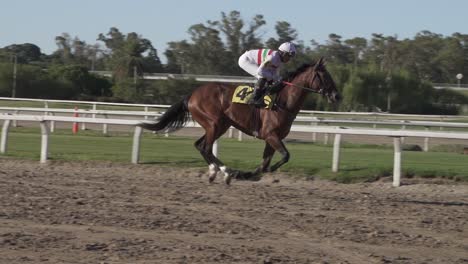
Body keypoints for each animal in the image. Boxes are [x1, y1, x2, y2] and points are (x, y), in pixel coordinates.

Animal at [139, 57, 340, 186]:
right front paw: (245, 173)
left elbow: (264, 164)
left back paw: (216, 172)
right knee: (206, 147)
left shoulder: (271, 139)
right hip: (214, 123)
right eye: (325, 76)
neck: (283, 101)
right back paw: (227, 172)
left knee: (200, 145)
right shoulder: (271, 135)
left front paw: (248, 174)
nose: (336, 95)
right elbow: (285, 156)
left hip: (220, 125)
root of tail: (192, 95)